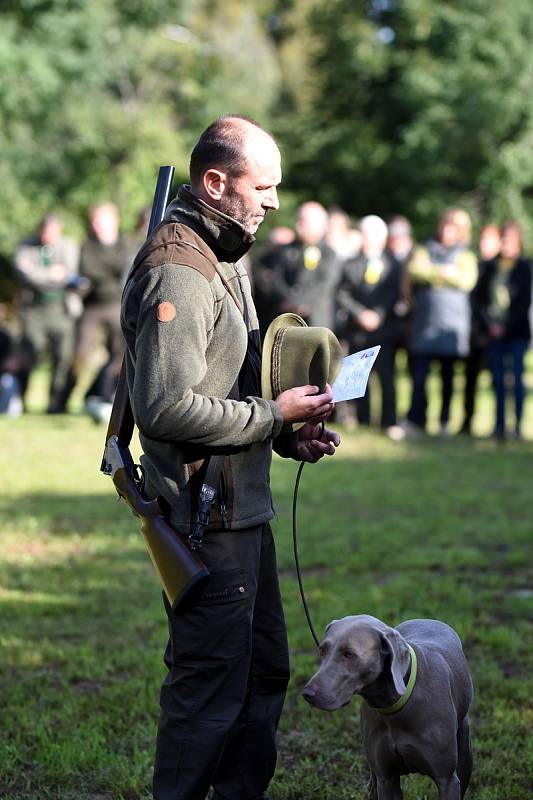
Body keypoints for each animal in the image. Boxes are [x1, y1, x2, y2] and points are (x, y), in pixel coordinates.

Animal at [302, 616, 472, 796]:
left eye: (349, 654)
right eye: (322, 650)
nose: (307, 694)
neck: (394, 706)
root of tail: (427, 619)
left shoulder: (446, 780)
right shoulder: (386, 779)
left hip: (465, 751)